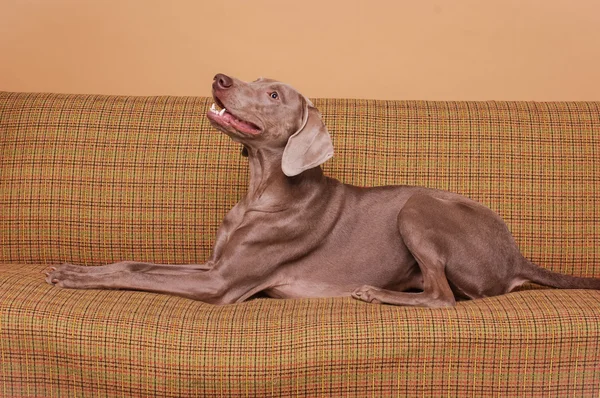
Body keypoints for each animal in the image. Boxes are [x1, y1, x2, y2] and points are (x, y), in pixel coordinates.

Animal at [45, 74, 600, 308]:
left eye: (273, 94)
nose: (220, 77)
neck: (261, 193)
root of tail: (517, 257)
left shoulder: (220, 284)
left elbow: (137, 277)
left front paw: (75, 280)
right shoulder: (212, 265)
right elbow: (132, 265)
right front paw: (75, 270)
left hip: (418, 206)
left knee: (445, 299)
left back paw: (377, 293)